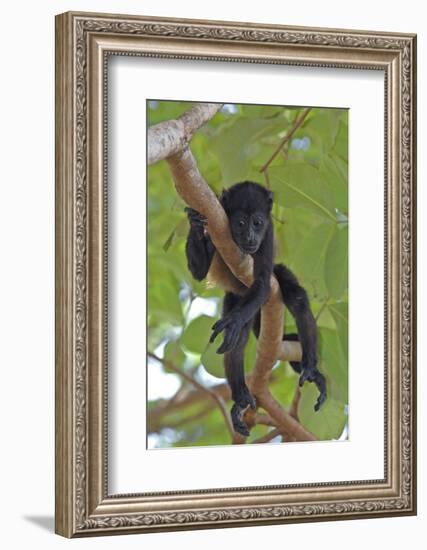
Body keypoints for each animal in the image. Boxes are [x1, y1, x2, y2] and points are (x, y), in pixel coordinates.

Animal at [185, 183, 328, 438]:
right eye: (241, 223)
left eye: (258, 223)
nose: (251, 237)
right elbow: (199, 272)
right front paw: (193, 222)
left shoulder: (269, 234)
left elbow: (262, 283)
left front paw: (233, 322)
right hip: (235, 298)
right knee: (238, 340)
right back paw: (241, 397)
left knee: (297, 300)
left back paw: (311, 368)